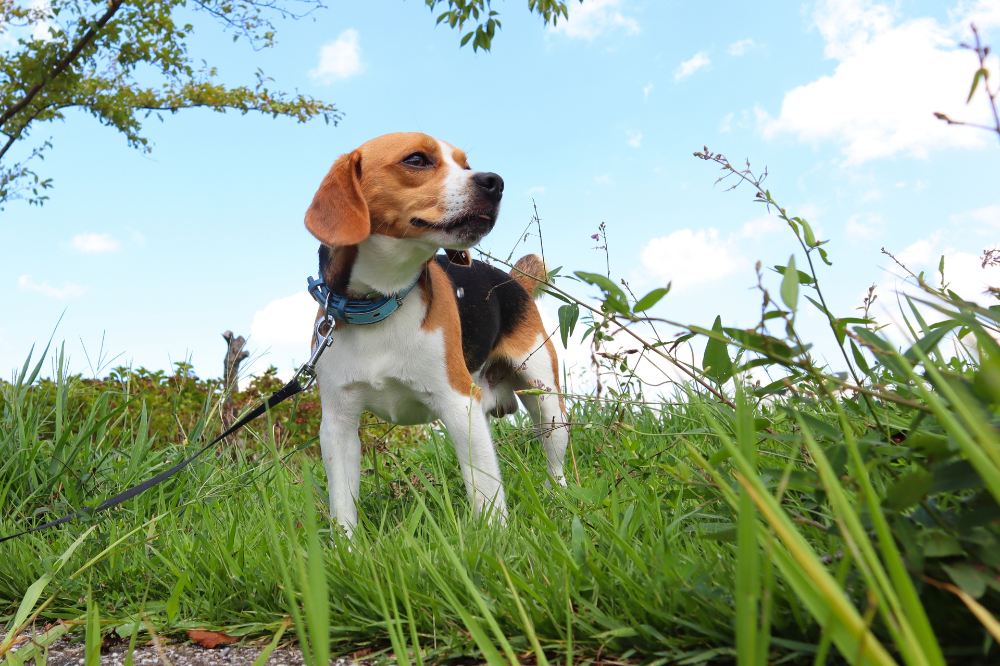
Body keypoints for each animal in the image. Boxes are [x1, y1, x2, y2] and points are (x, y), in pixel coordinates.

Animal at [302, 131, 572, 536]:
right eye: (416, 160)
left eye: (464, 164)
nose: (495, 182)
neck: (383, 303)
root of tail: (512, 281)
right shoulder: (337, 423)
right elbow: (342, 506)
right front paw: (347, 547)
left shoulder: (460, 405)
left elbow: (485, 490)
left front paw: (496, 540)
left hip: (546, 400)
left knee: (554, 460)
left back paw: (559, 496)